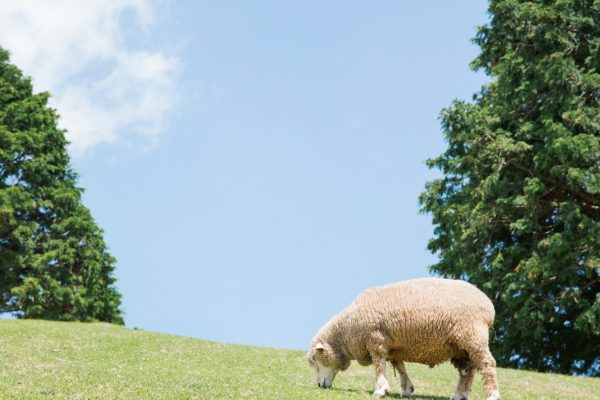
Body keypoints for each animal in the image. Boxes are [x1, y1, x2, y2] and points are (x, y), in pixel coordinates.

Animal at [308, 278, 500, 400]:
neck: (347, 330)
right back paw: (460, 395)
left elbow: (379, 365)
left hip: (472, 335)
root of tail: (488, 305)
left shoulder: (376, 340)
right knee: (467, 371)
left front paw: (381, 390)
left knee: (486, 364)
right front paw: (407, 389)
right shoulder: (393, 347)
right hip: (459, 346)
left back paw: (492, 395)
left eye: (316, 361)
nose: (319, 385)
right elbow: (399, 367)